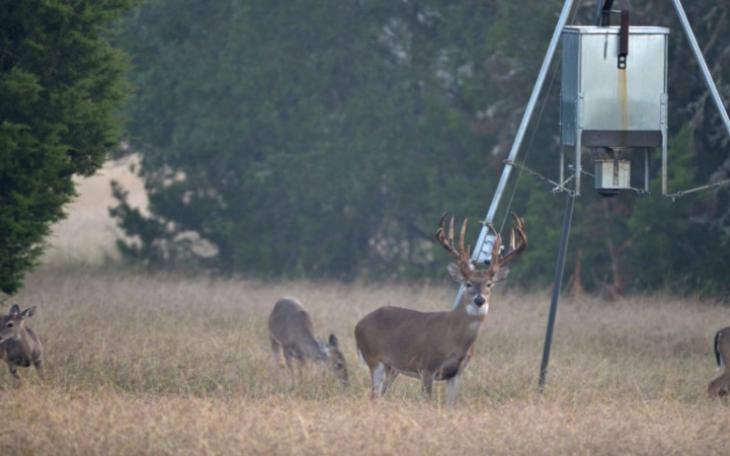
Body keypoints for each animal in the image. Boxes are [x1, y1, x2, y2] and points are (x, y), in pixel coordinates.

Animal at [355, 213, 527, 404]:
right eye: (468, 283)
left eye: (489, 284)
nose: (479, 300)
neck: (454, 337)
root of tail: (358, 325)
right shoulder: (427, 366)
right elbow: (427, 401)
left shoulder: (456, 373)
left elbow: (451, 404)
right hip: (374, 357)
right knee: (373, 394)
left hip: (391, 367)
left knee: (380, 394)